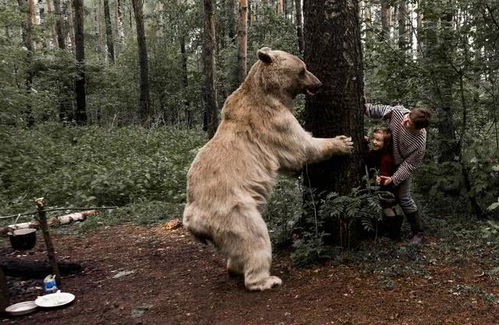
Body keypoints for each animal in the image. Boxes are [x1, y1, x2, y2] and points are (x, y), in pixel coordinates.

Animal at [185, 46, 356, 290]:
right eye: (303, 69)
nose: (319, 83)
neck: (269, 92)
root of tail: (192, 221)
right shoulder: (272, 120)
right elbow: (301, 147)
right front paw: (342, 142)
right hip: (233, 210)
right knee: (255, 237)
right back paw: (265, 279)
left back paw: (235, 268)